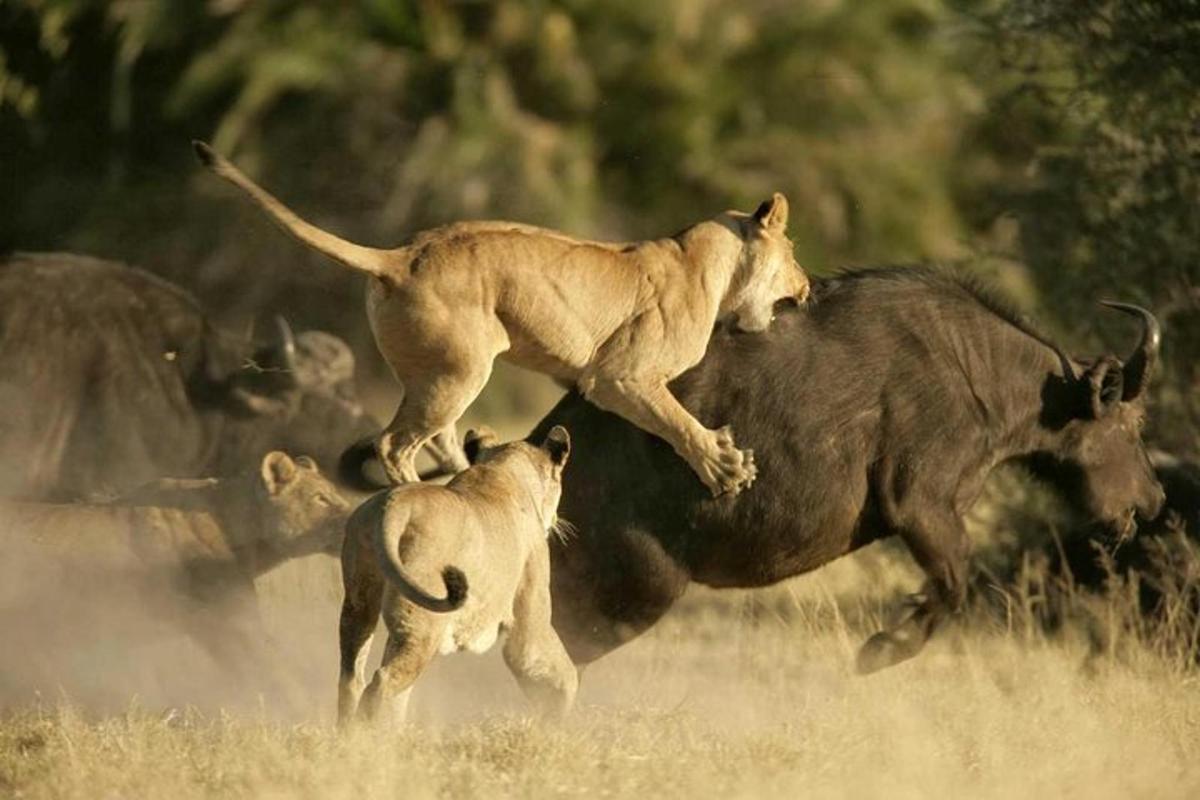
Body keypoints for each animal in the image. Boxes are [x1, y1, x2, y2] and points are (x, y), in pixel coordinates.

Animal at [532, 271, 1161, 676]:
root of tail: (543, 443)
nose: (1153, 500)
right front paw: (882, 650)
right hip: (637, 589)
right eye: (1133, 424)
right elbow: (956, 581)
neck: (978, 370)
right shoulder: (921, 503)